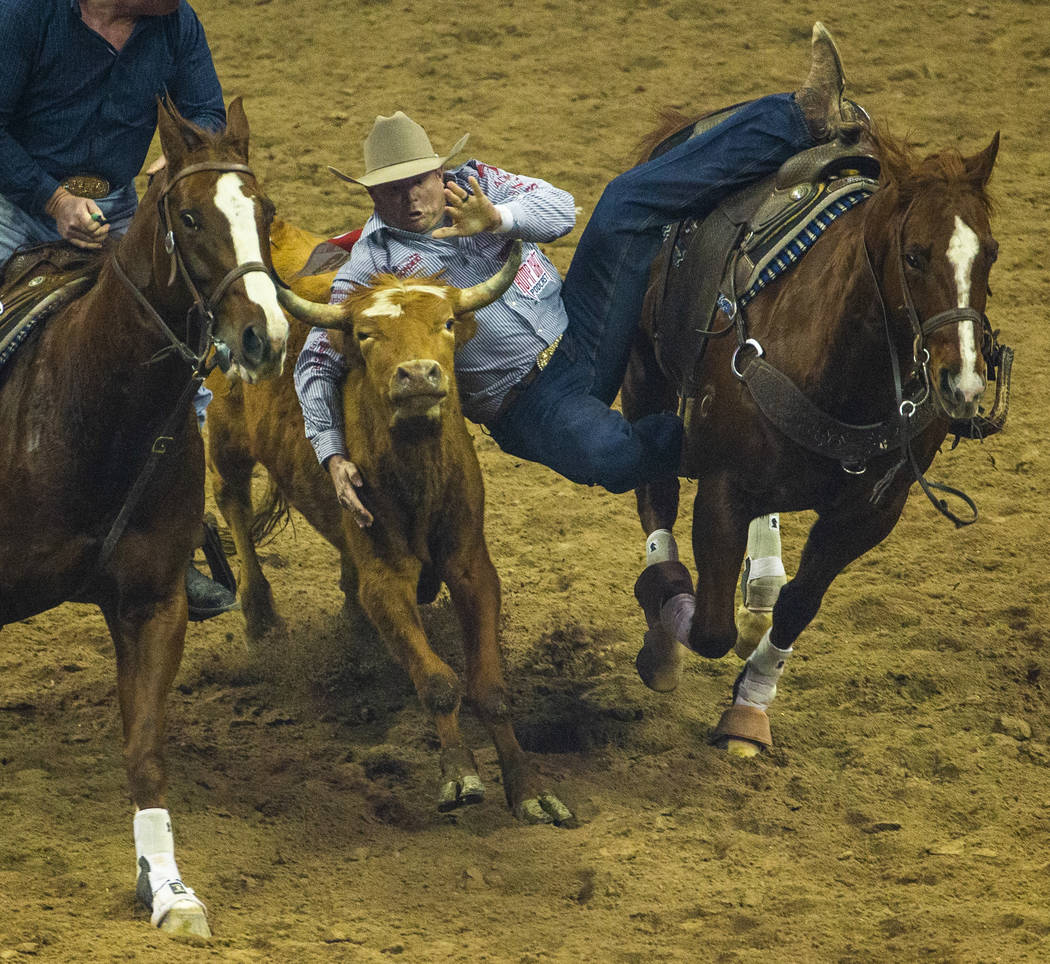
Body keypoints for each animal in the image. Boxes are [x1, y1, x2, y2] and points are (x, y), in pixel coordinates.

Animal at [0, 98, 315, 936]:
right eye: (191, 216)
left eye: (265, 211)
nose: (265, 336)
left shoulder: (152, 603)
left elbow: (144, 751)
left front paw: (170, 890)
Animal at [621, 120, 999, 756]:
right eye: (914, 256)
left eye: (990, 253)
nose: (964, 384)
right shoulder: (722, 488)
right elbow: (710, 628)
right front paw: (674, 628)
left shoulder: (869, 515)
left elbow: (799, 606)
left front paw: (748, 709)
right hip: (645, 377)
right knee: (656, 495)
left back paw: (761, 586)